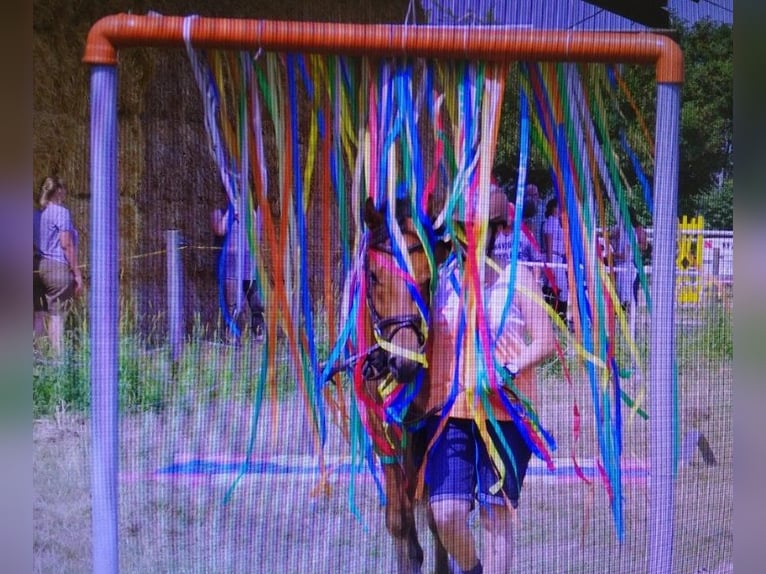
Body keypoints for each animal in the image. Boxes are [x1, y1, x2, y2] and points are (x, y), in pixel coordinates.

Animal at [358, 198, 452, 574]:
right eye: (373, 276)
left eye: (427, 281)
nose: (405, 362)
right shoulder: (379, 427)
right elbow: (398, 519)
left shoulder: (431, 425)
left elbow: (437, 517)